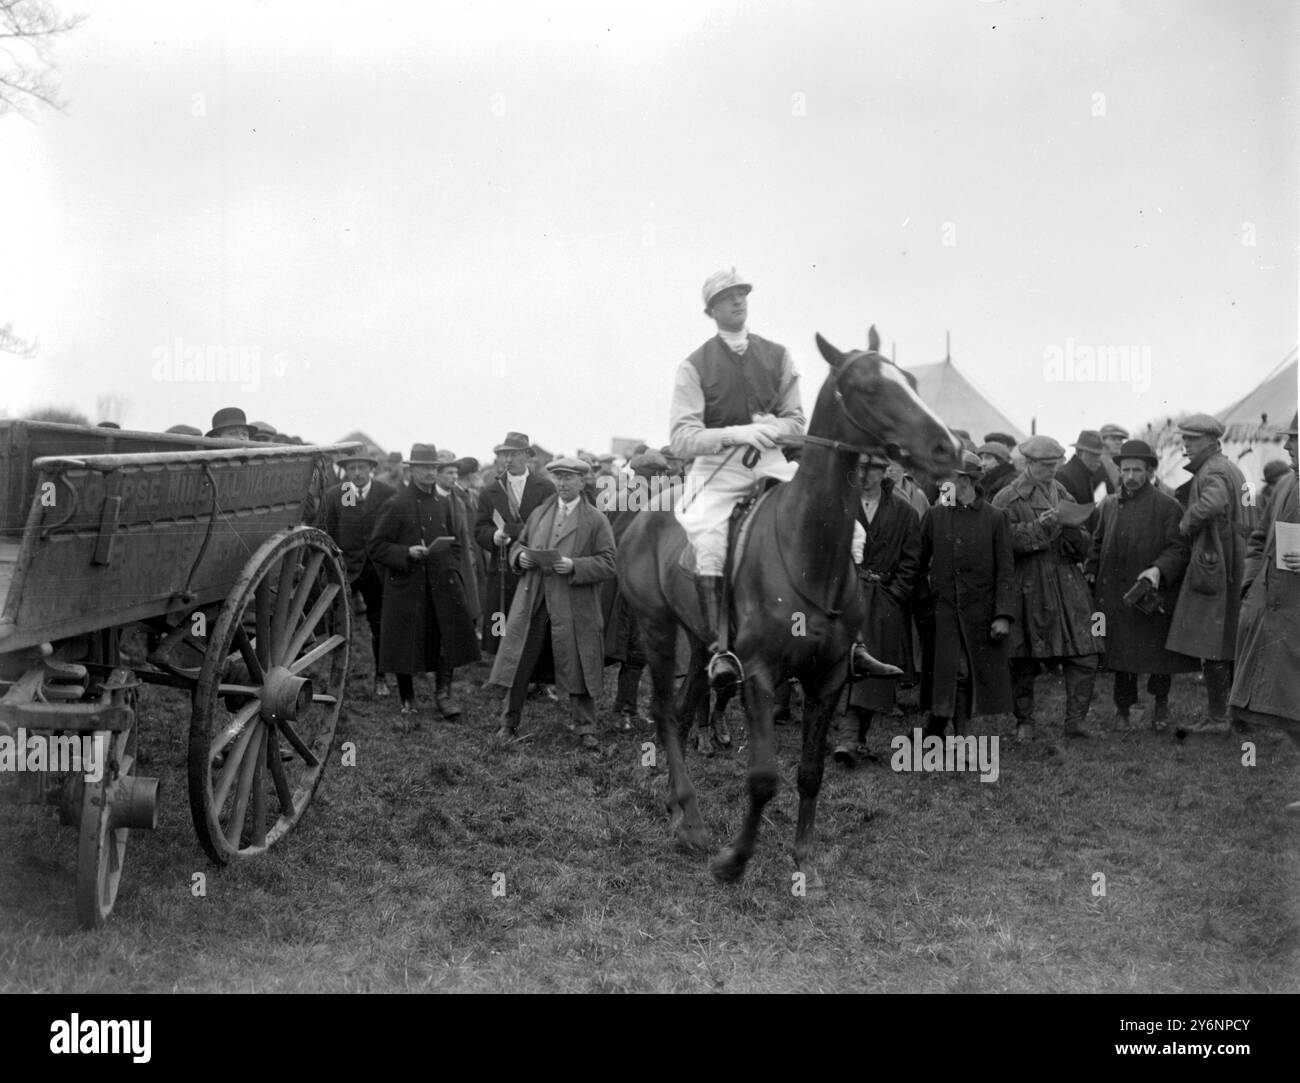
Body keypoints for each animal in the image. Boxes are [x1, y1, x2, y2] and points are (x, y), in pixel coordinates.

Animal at [613, 330, 961, 889]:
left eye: (910, 380)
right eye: (868, 386)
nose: (948, 447)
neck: (807, 550)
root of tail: (641, 516)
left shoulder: (829, 677)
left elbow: (810, 773)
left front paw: (803, 859)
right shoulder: (758, 675)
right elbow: (763, 777)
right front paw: (734, 860)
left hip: (700, 636)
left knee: (685, 711)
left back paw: (679, 808)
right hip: (656, 626)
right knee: (665, 710)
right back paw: (691, 822)